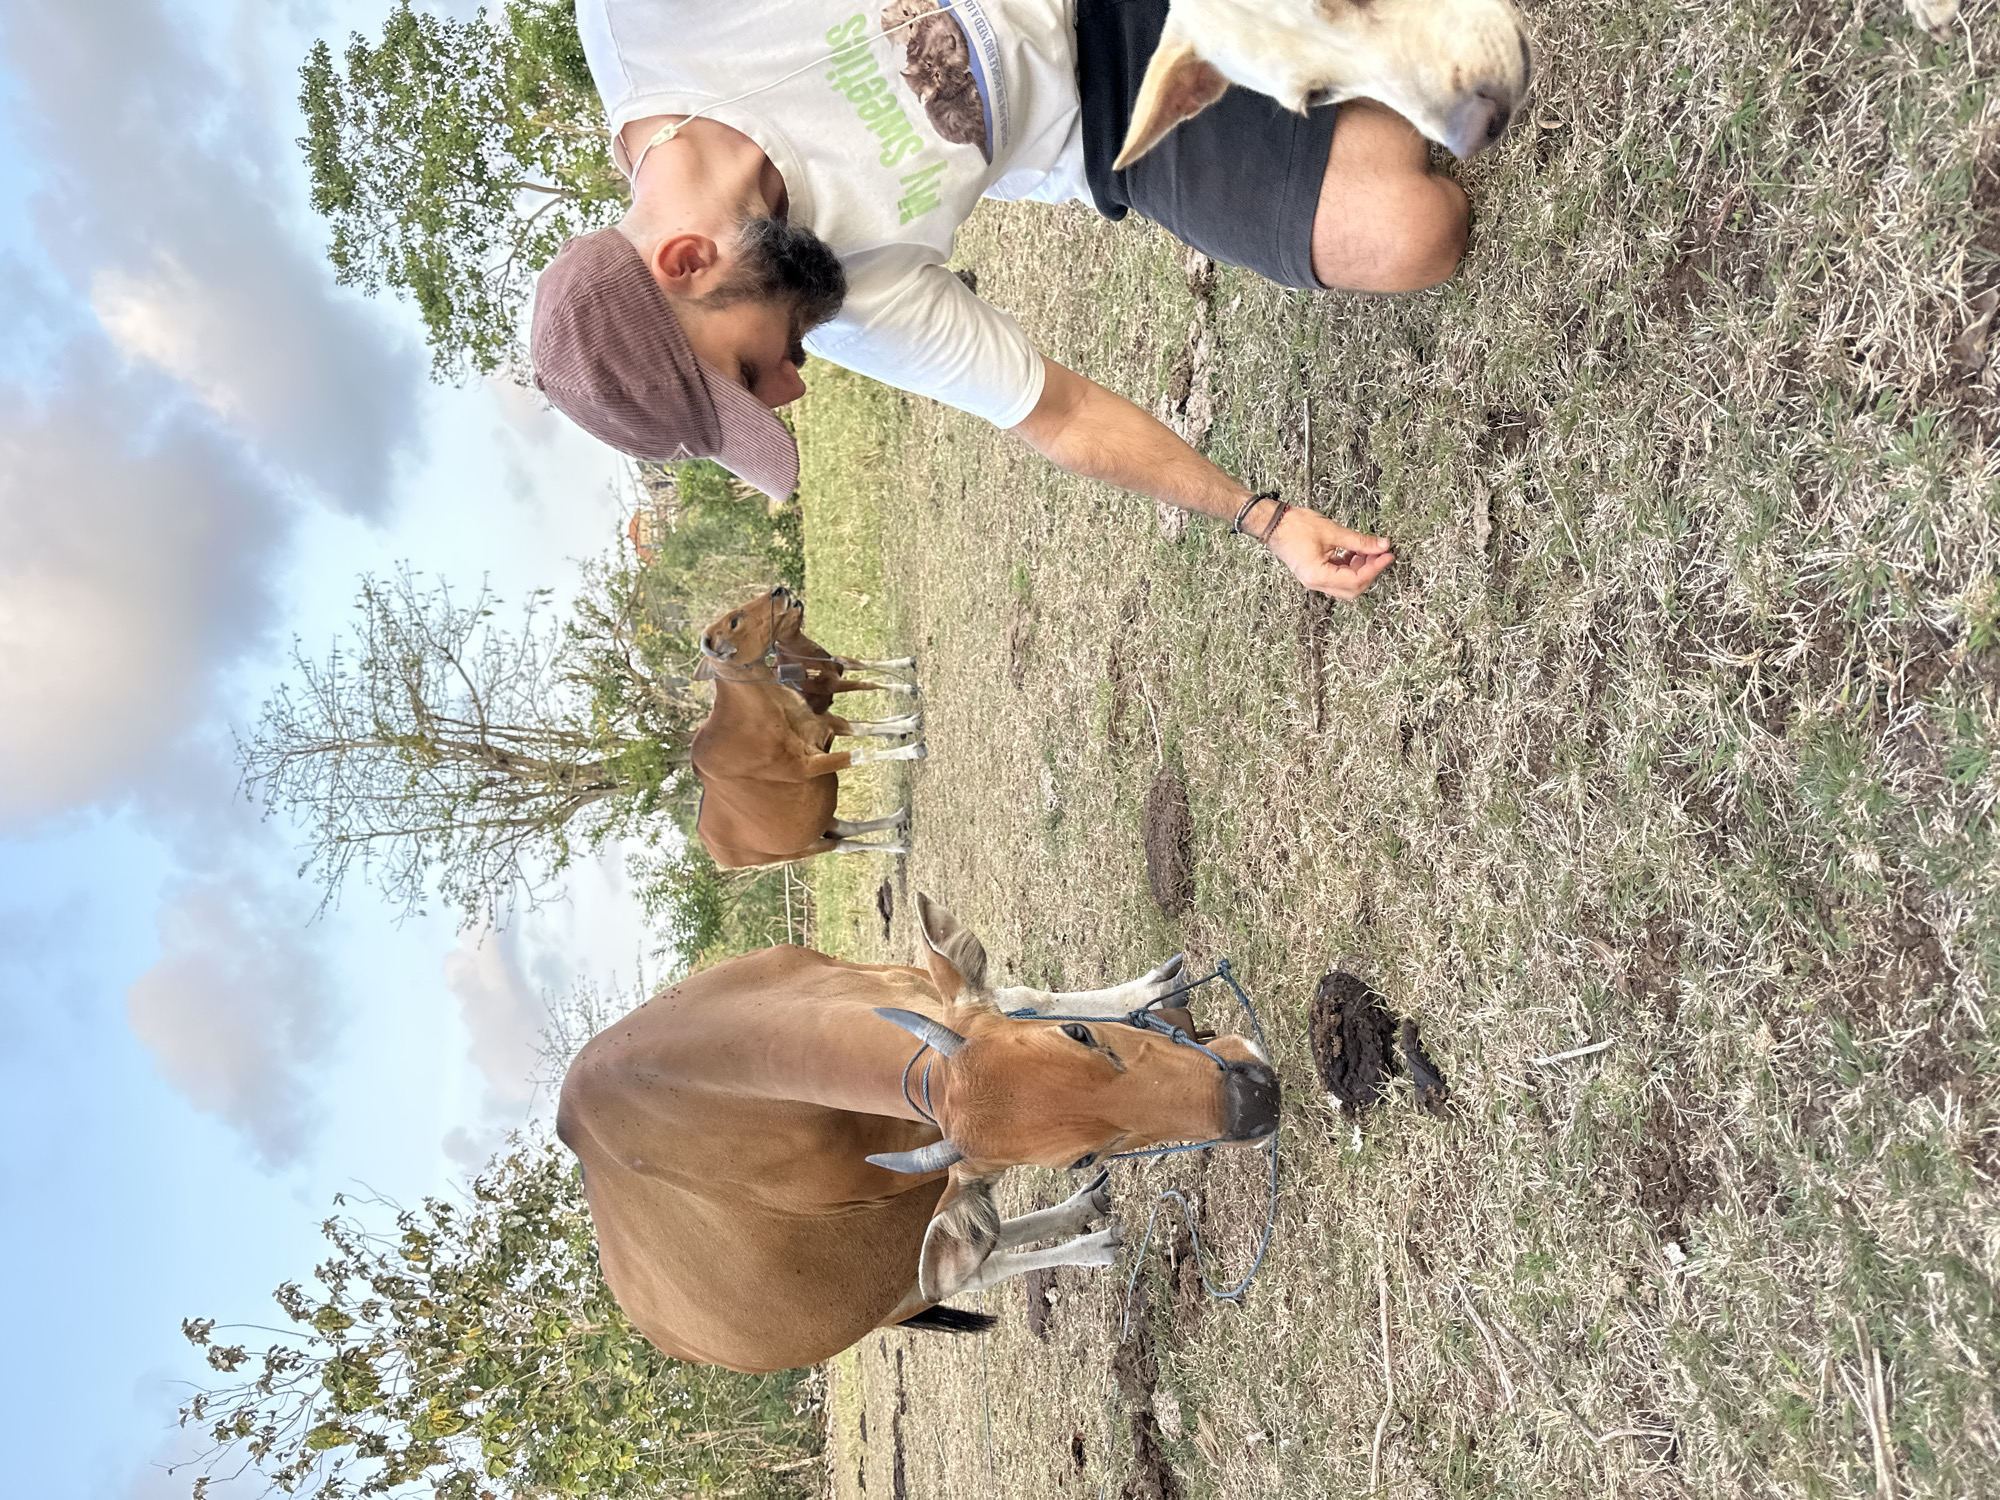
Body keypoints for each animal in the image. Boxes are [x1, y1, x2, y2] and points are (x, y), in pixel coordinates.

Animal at [556, 892, 1282, 1372]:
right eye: (1078, 1155)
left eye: (1079, 1035)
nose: (1254, 1103)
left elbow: (1022, 994)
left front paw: (1149, 989)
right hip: (895, 1300)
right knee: (975, 1271)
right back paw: (1090, 1241)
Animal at [692, 586, 923, 868]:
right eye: (734, 622)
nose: (778, 590)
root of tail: (715, 850)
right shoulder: (809, 766)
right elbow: (862, 752)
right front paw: (910, 748)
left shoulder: (826, 725)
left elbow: (864, 728)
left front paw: (906, 722)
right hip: (803, 848)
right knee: (843, 845)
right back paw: (896, 845)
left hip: (817, 822)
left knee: (846, 829)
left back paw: (896, 820)